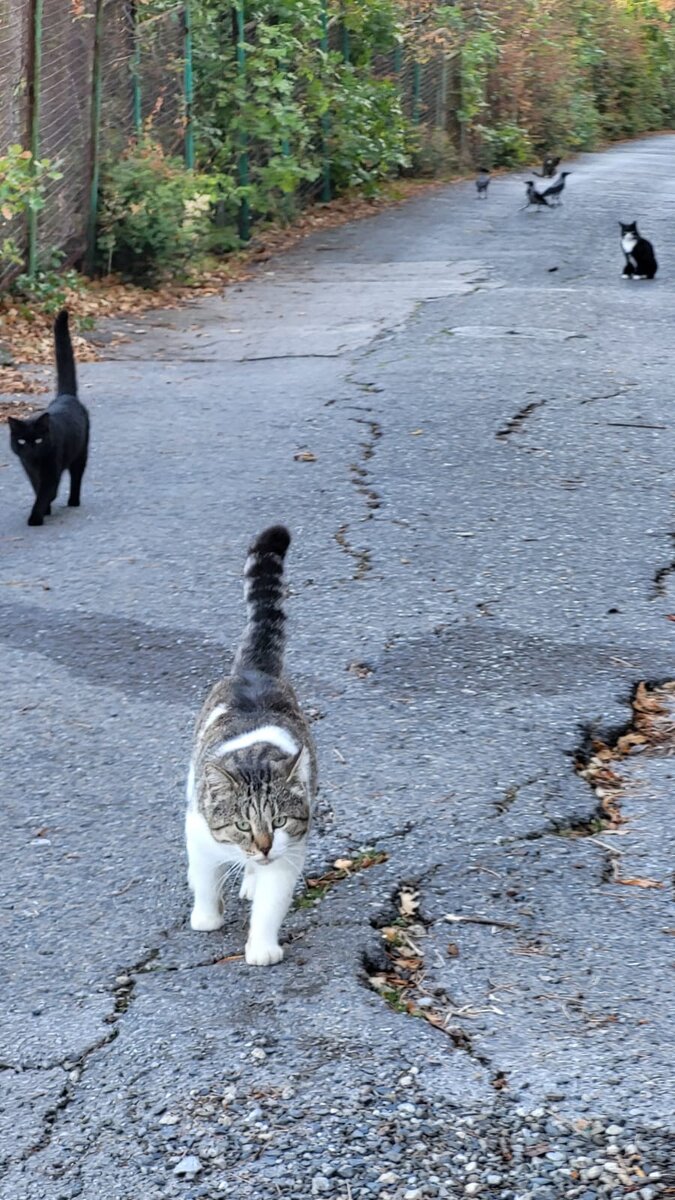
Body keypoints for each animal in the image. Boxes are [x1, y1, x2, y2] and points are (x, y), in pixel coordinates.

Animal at [8, 309, 89, 525]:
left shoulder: (52, 470)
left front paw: (36, 517)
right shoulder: (28, 468)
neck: (36, 463)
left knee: (77, 476)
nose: (30, 449)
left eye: (38, 439)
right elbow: (38, 490)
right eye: (21, 441)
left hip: (81, 452)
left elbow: (46, 492)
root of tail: (66, 395)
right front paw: (46, 509)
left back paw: (73, 501)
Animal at [183, 525, 314, 964]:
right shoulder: (198, 832)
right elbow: (204, 877)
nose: (263, 847)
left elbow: (272, 903)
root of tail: (255, 669)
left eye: (278, 821)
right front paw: (206, 917)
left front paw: (261, 948)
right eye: (241, 824)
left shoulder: (290, 850)